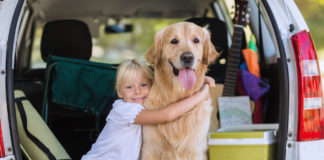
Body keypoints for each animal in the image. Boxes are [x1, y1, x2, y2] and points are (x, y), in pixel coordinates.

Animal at [141, 21, 218, 159]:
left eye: (196, 40)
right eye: (174, 41)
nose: (187, 57)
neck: (179, 93)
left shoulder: (195, 151)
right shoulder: (150, 150)